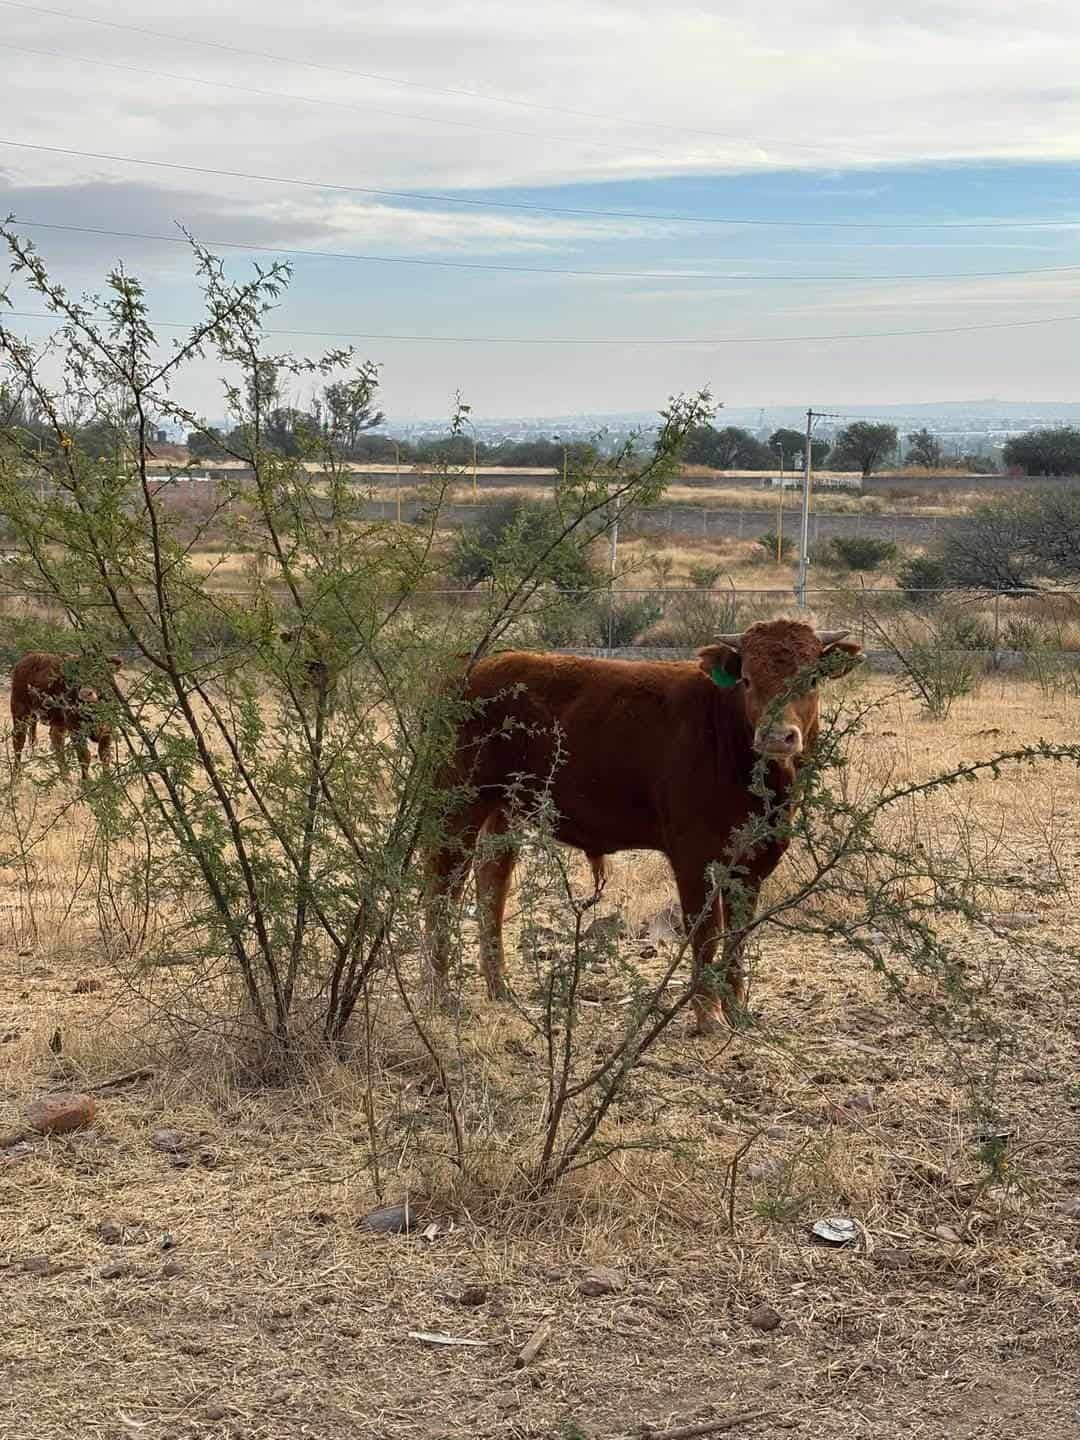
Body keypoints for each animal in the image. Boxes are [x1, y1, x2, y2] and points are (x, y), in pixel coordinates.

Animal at [9, 653, 120, 783]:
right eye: (77, 674)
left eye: (99, 671)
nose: (86, 693)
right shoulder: (76, 730)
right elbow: (85, 756)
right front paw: (87, 782)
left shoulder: (108, 729)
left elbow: (105, 755)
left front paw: (108, 781)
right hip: (20, 712)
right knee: (19, 741)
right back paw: (15, 777)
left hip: (57, 721)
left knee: (56, 740)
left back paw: (66, 778)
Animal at [426, 619, 869, 1036]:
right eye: (747, 680)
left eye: (811, 678)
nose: (777, 736)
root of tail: (472, 667)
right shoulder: (692, 855)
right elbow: (706, 932)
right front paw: (708, 1015)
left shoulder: (756, 858)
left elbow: (739, 934)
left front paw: (738, 1011)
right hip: (459, 803)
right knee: (443, 885)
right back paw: (439, 993)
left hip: (506, 809)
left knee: (492, 883)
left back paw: (500, 990)